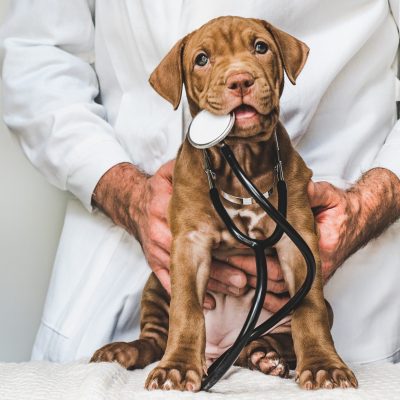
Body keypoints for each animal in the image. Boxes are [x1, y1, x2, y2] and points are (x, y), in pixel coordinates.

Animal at [92, 16, 358, 390]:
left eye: (260, 47)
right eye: (202, 59)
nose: (240, 80)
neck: (241, 159)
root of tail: (221, 352)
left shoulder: (299, 242)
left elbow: (310, 309)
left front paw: (324, 366)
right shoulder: (188, 244)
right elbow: (187, 309)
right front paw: (176, 367)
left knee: (269, 339)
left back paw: (266, 356)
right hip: (156, 284)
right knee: (155, 339)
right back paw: (123, 350)